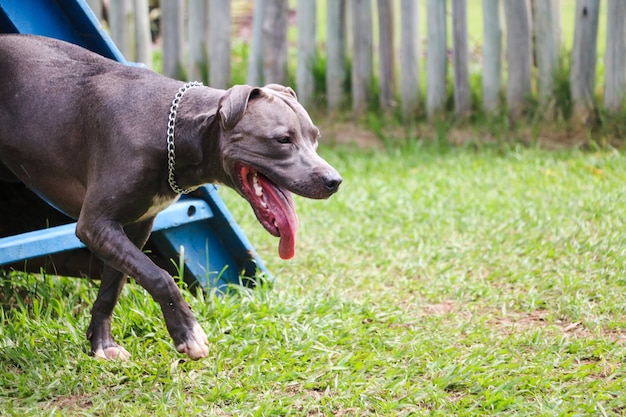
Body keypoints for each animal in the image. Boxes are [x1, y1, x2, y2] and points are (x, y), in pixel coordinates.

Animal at [0, 34, 342, 360]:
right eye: (282, 139)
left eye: (315, 138)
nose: (334, 181)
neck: (176, 130)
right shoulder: (96, 224)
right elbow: (160, 275)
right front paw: (188, 333)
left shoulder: (135, 227)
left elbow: (114, 285)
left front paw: (101, 344)